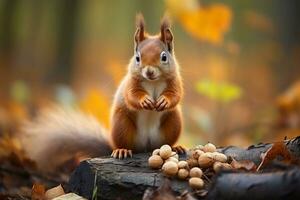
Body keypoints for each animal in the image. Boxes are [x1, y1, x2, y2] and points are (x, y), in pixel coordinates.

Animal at [19, 12, 184, 172]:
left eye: (164, 57)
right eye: (137, 58)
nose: (149, 72)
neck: (153, 82)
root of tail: (146, 147)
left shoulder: (175, 81)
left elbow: (176, 94)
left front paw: (164, 101)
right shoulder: (130, 83)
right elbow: (131, 95)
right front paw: (144, 100)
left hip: (173, 122)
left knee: (166, 143)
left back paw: (176, 147)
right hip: (121, 125)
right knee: (124, 143)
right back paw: (122, 150)